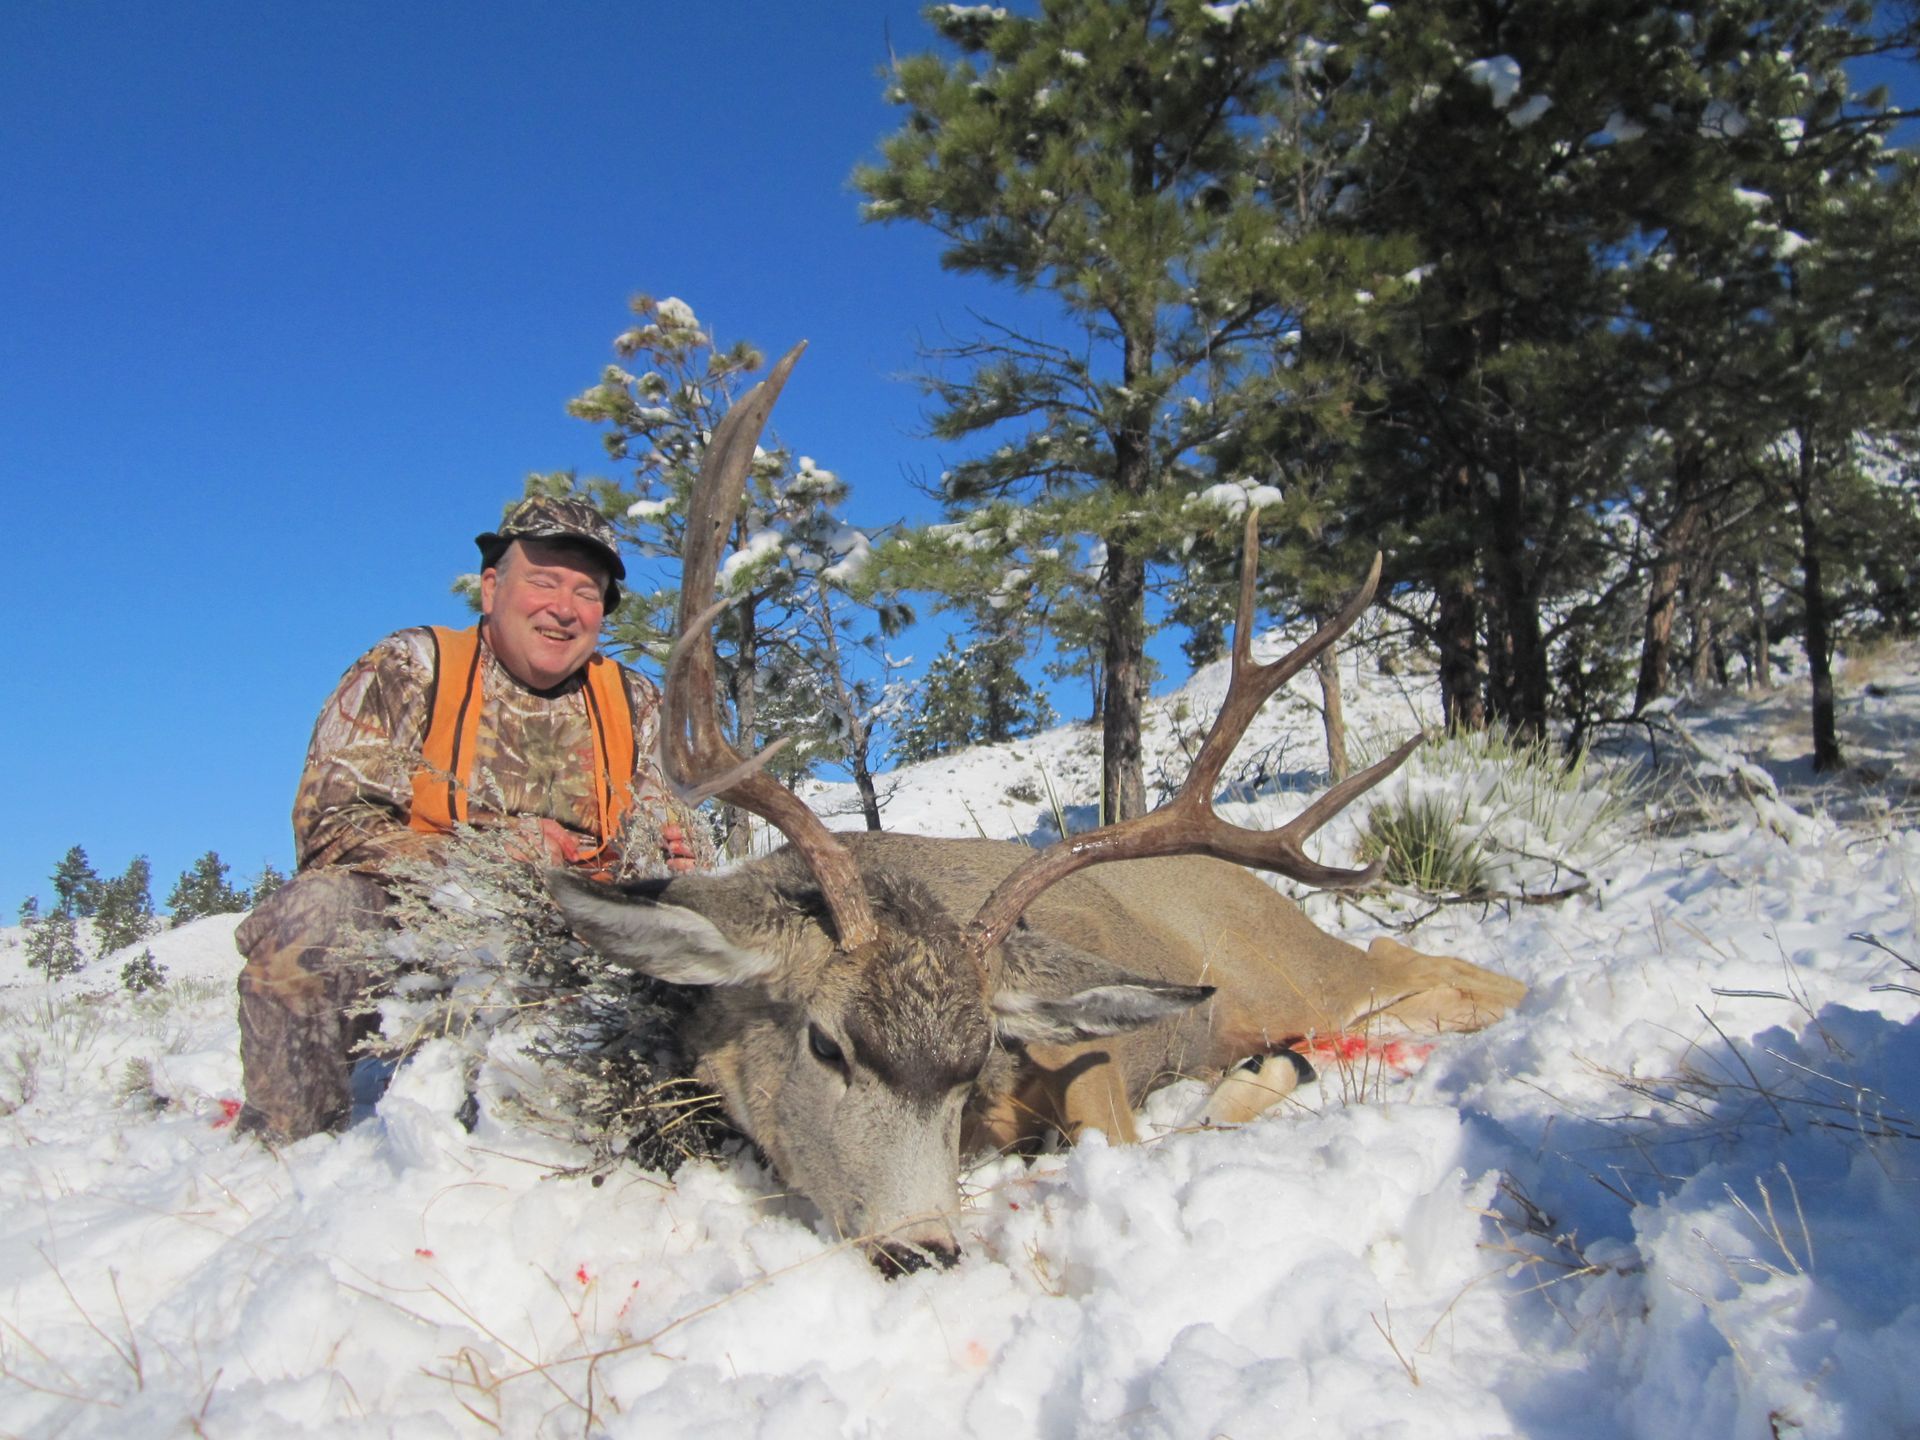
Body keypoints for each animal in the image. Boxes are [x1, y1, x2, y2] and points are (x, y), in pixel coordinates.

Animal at [547, 344, 1526, 1275]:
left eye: (973, 1059)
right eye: (826, 1045)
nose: (921, 1249)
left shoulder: (1086, 1052)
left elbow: (1125, 1139)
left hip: (1291, 971)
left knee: (1421, 966)